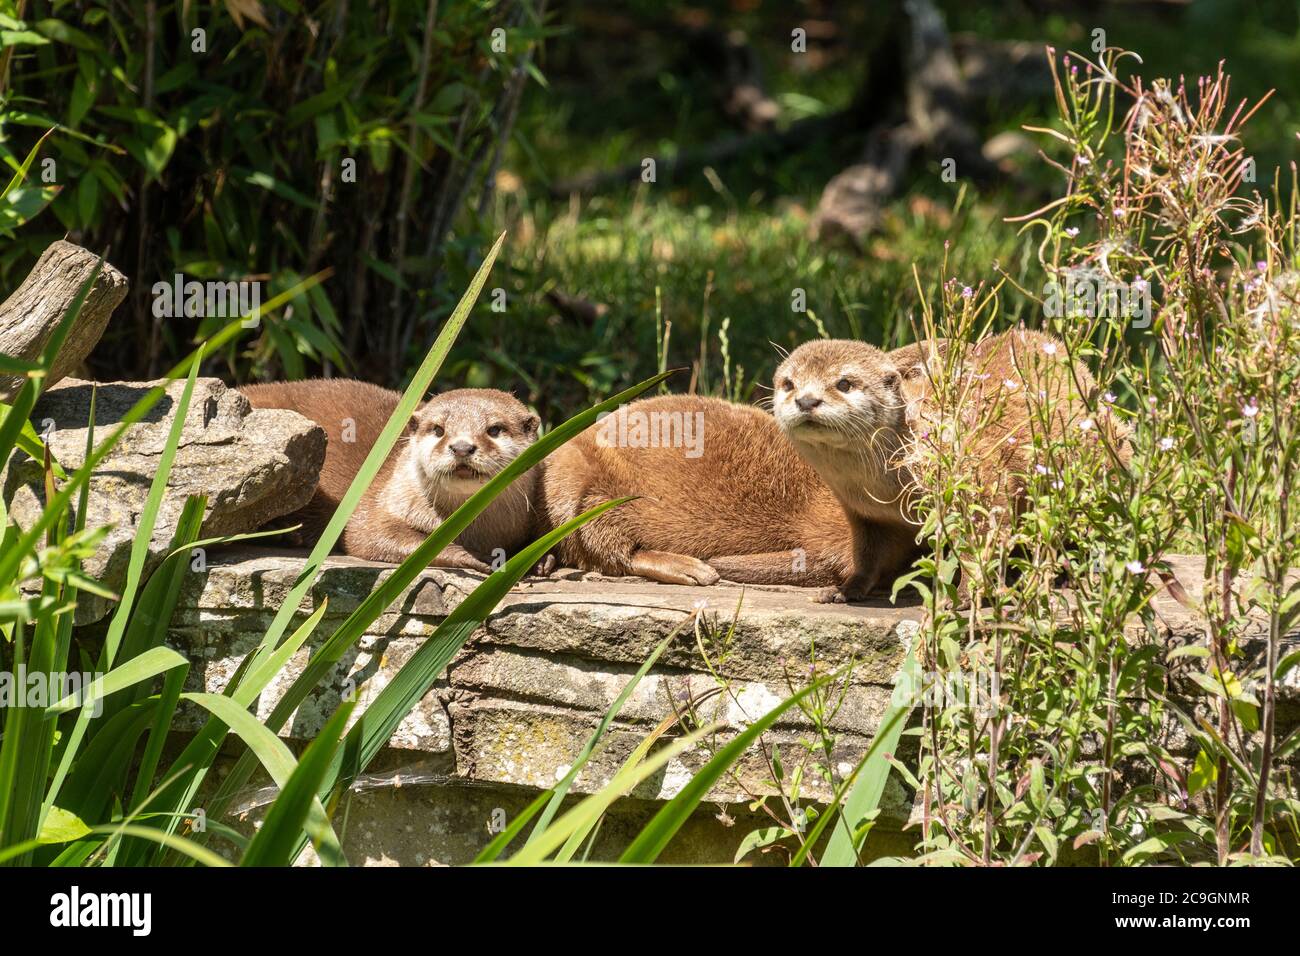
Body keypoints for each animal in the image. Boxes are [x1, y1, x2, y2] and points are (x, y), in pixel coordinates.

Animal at [241, 379, 540, 572]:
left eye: (494, 429)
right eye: (438, 429)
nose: (462, 447)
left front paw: (539, 559)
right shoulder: (378, 503)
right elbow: (371, 535)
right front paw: (475, 557)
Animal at [769, 325, 1118, 600]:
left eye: (844, 383)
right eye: (788, 384)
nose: (806, 400)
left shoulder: (974, 481)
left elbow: (981, 538)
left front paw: (963, 595)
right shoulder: (865, 515)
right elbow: (867, 555)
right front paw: (846, 589)